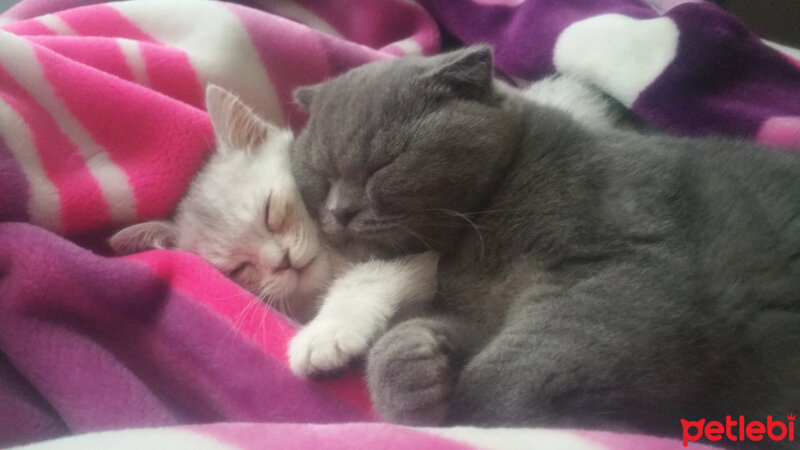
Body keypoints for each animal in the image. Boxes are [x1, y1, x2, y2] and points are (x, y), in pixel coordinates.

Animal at [290, 44, 800, 444]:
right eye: (318, 172)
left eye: (385, 163)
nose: (340, 211)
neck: (474, 239)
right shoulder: (481, 308)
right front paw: (412, 368)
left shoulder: (624, 267)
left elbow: (517, 373)